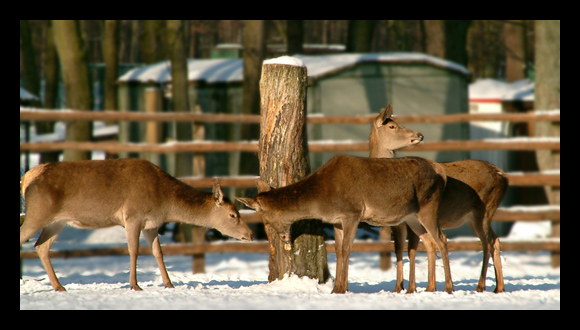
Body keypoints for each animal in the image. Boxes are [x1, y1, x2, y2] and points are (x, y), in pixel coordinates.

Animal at [19, 159, 254, 290]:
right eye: (233, 214)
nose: (250, 234)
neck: (165, 201)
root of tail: (26, 178)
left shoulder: (151, 224)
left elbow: (158, 252)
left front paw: (169, 284)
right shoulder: (133, 216)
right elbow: (134, 250)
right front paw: (135, 285)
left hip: (57, 222)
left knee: (41, 246)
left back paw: (59, 286)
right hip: (38, 212)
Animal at [236, 153, 454, 292]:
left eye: (265, 219)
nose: (283, 238)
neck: (322, 199)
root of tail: (442, 173)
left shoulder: (352, 213)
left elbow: (347, 249)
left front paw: (342, 289)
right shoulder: (337, 221)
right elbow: (338, 250)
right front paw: (336, 288)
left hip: (428, 206)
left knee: (442, 239)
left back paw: (448, 287)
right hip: (412, 216)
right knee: (430, 242)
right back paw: (429, 287)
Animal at [368, 104, 508, 294]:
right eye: (392, 126)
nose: (419, 135)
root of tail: (503, 176)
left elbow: (411, 249)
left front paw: (409, 288)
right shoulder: (399, 223)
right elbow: (401, 249)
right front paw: (403, 287)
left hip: (485, 209)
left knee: (487, 242)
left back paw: (480, 285)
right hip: (474, 217)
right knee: (495, 240)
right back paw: (498, 286)